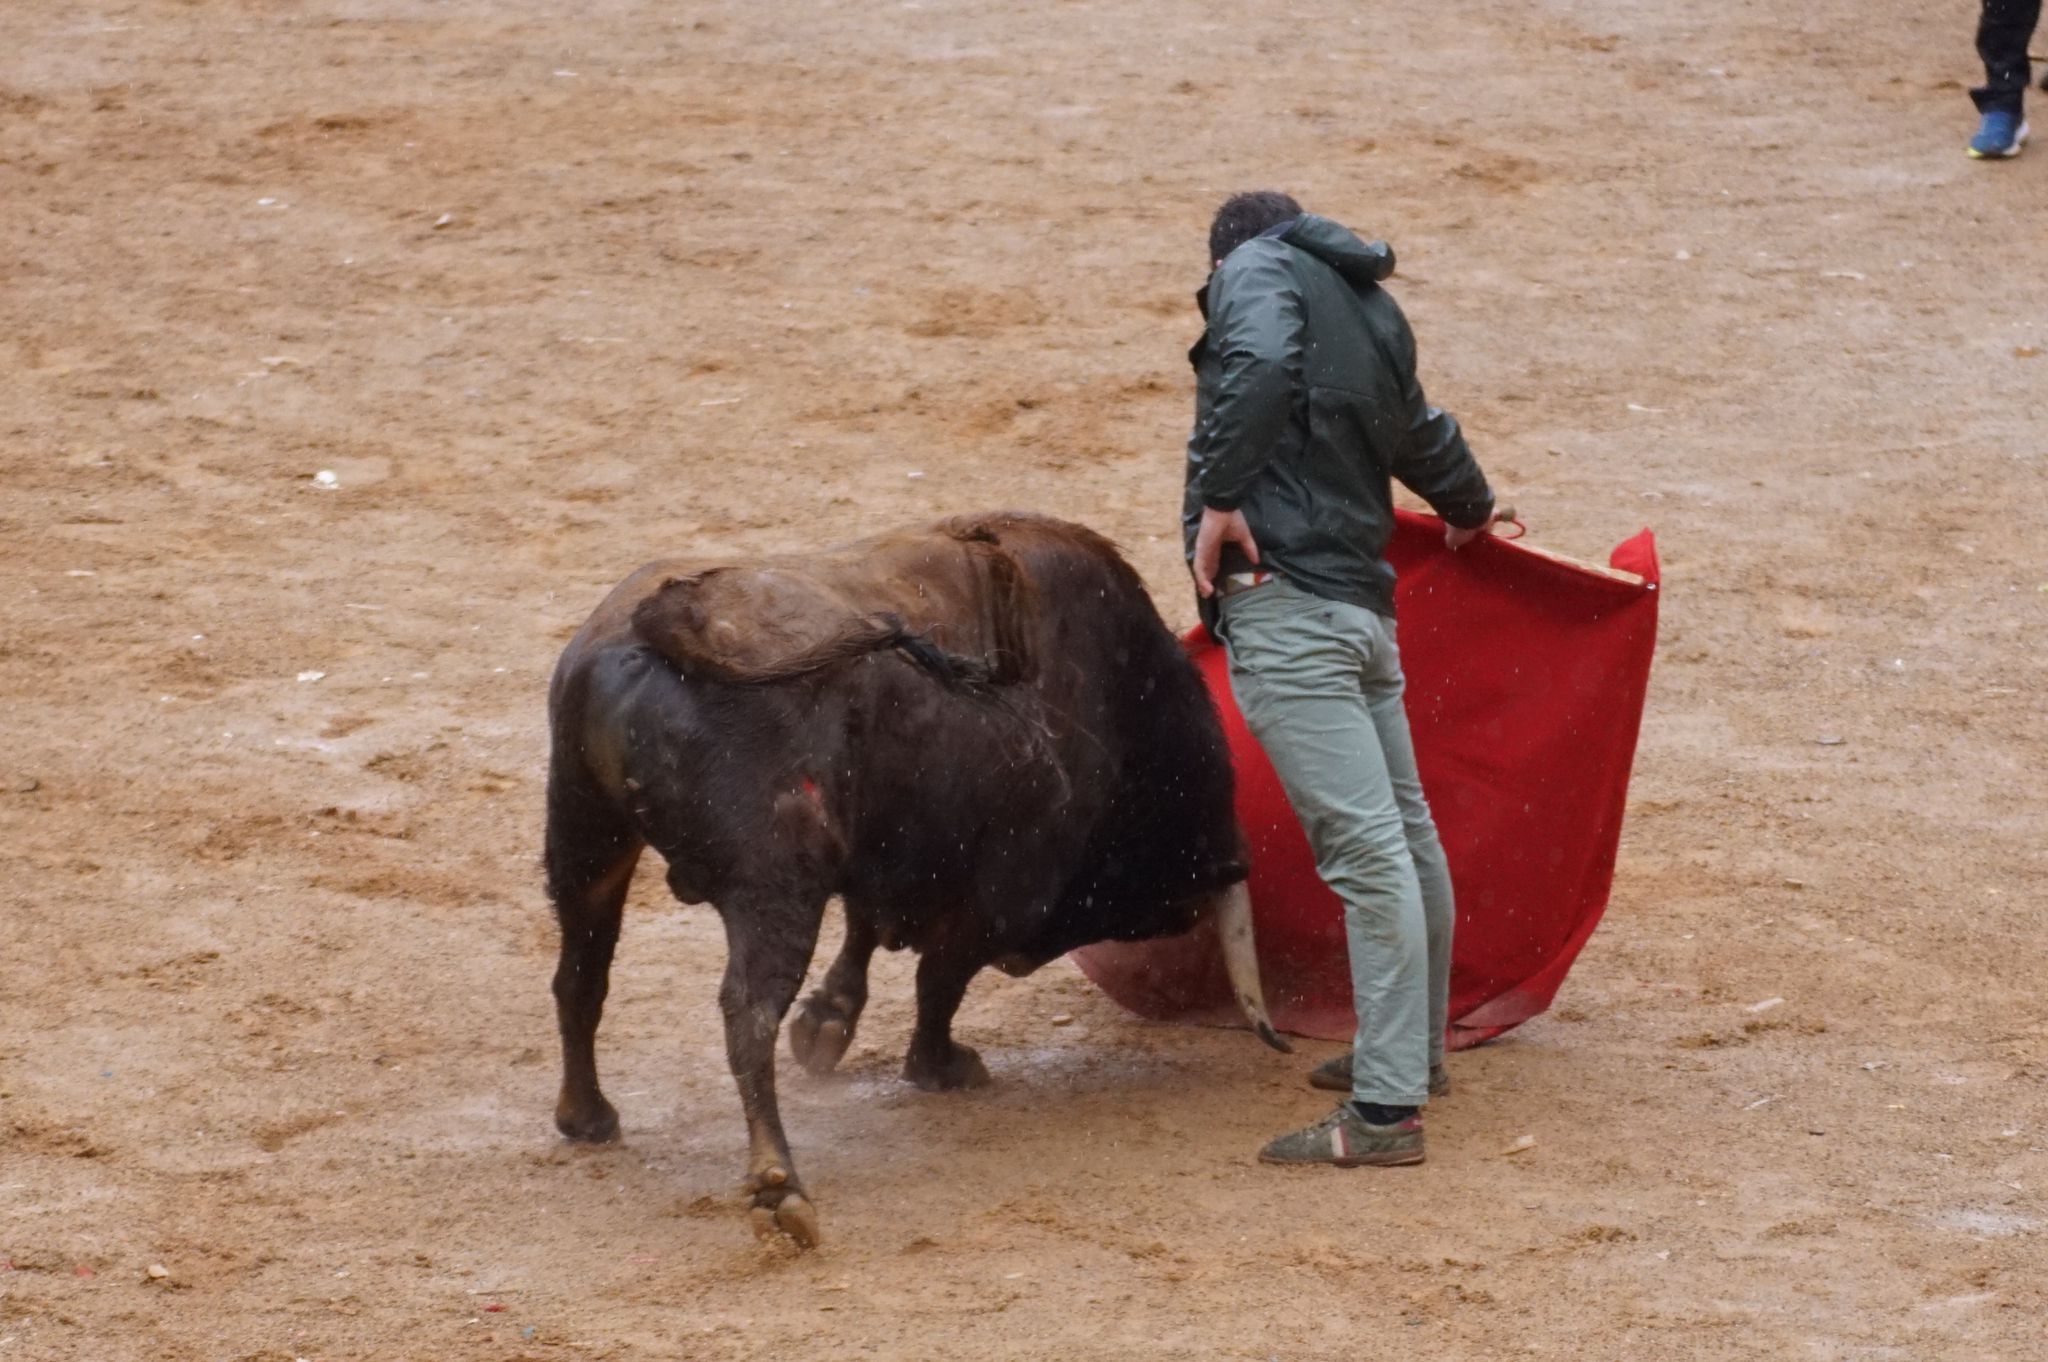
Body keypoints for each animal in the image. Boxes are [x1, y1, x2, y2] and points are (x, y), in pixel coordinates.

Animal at [544, 509, 1277, 1245]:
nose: (1023, 961)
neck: (1120, 703)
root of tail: (659, 623)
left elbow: (868, 933)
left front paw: (828, 1022)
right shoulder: (1000, 898)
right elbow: (939, 980)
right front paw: (938, 1065)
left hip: (586, 843)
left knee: (581, 978)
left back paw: (587, 1116)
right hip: (772, 886)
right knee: (747, 1014)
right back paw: (779, 1186)